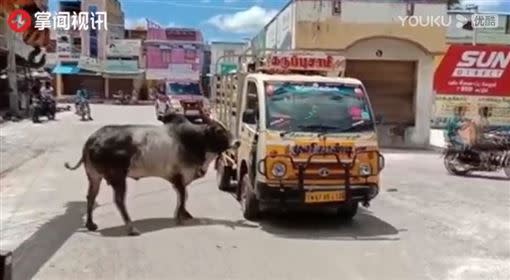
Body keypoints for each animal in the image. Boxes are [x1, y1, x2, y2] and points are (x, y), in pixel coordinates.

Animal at [64, 114, 238, 236]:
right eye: (219, 131)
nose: (237, 142)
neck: (196, 141)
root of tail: (92, 139)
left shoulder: (178, 179)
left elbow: (183, 197)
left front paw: (185, 214)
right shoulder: (180, 177)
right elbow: (183, 197)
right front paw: (180, 217)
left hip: (94, 176)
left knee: (91, 197)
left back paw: (90, 224)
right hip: (118, 177)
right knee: (119, 200)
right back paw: (131, 228)